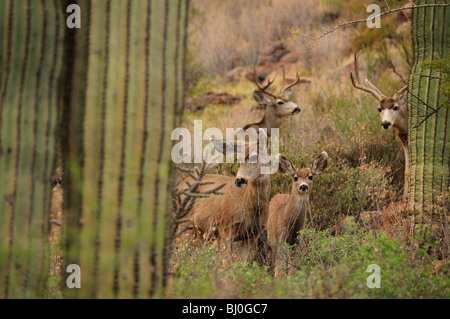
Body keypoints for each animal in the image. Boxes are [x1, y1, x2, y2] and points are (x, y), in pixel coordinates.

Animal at [350, 52, 410, 200]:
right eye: (379, 108)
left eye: (395, 107)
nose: (386, 123)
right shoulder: (404, 140)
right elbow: (406, 171)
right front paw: (404, 199)